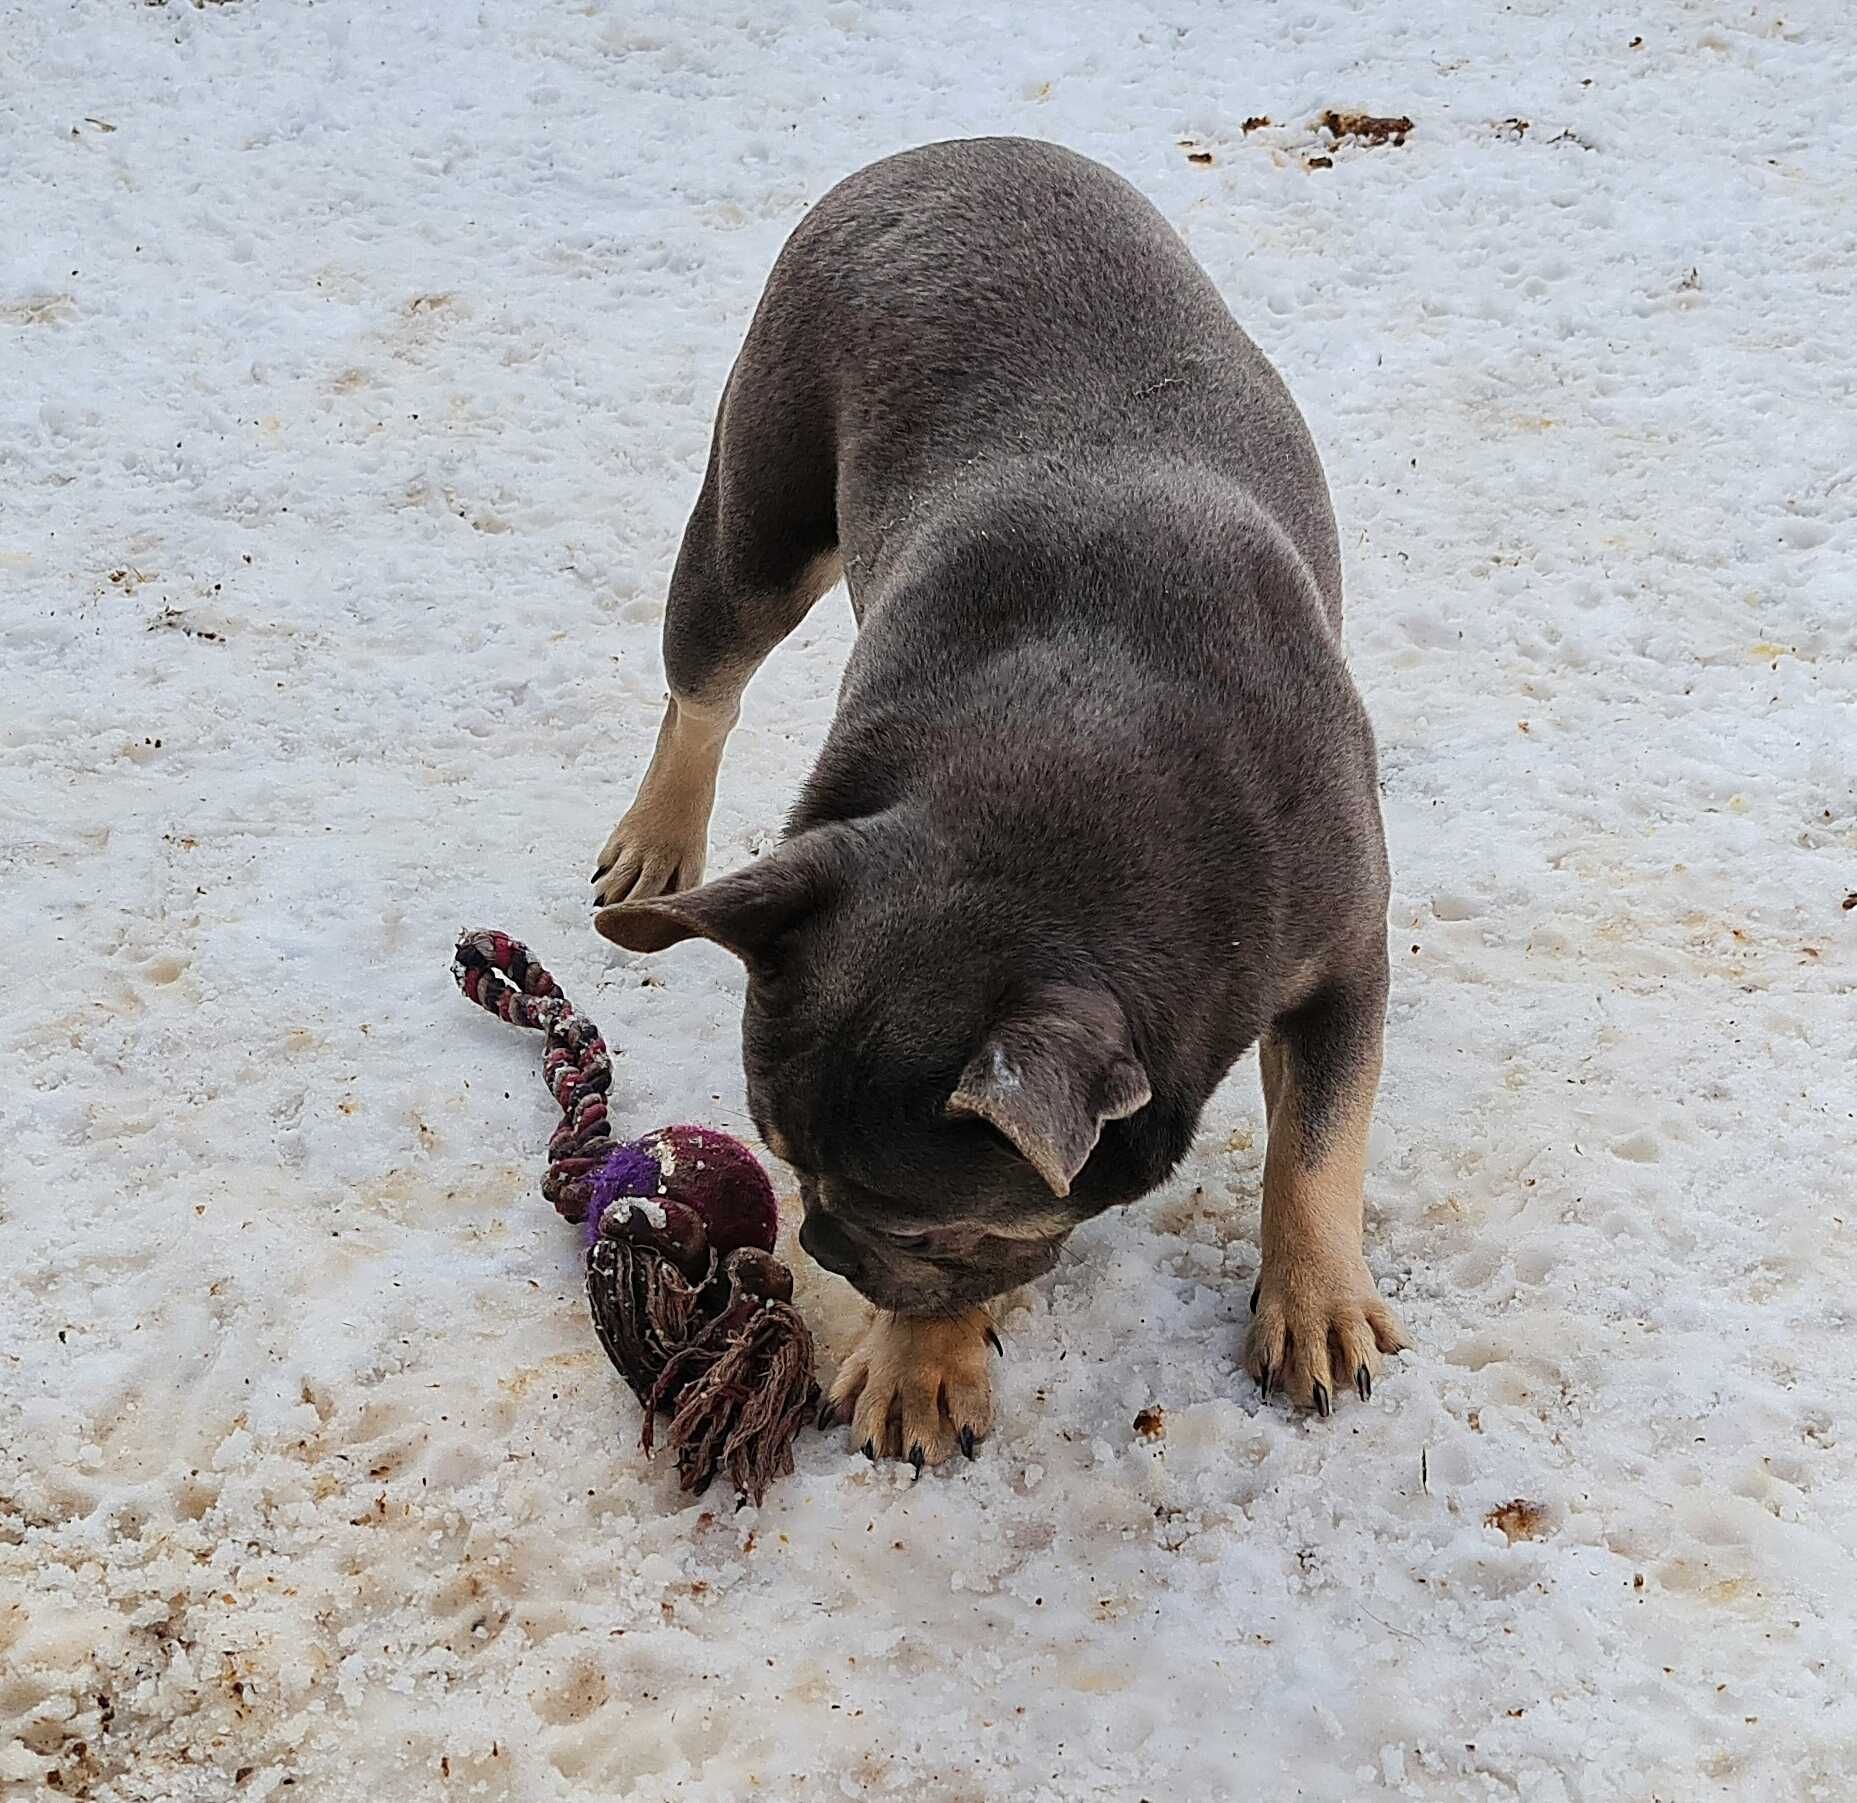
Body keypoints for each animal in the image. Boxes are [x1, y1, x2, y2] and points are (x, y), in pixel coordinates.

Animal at [594, 137, 1403, 1463]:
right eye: (785, 1164)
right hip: (755, 522)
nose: (824, 1247)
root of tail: (940, 152)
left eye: (930, 1225)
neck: (1047, 843)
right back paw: (659, 849)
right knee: (703, 687)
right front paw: (921, 1367)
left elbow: (1321, 1144)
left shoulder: (1348, 957)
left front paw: (1318, 1308)